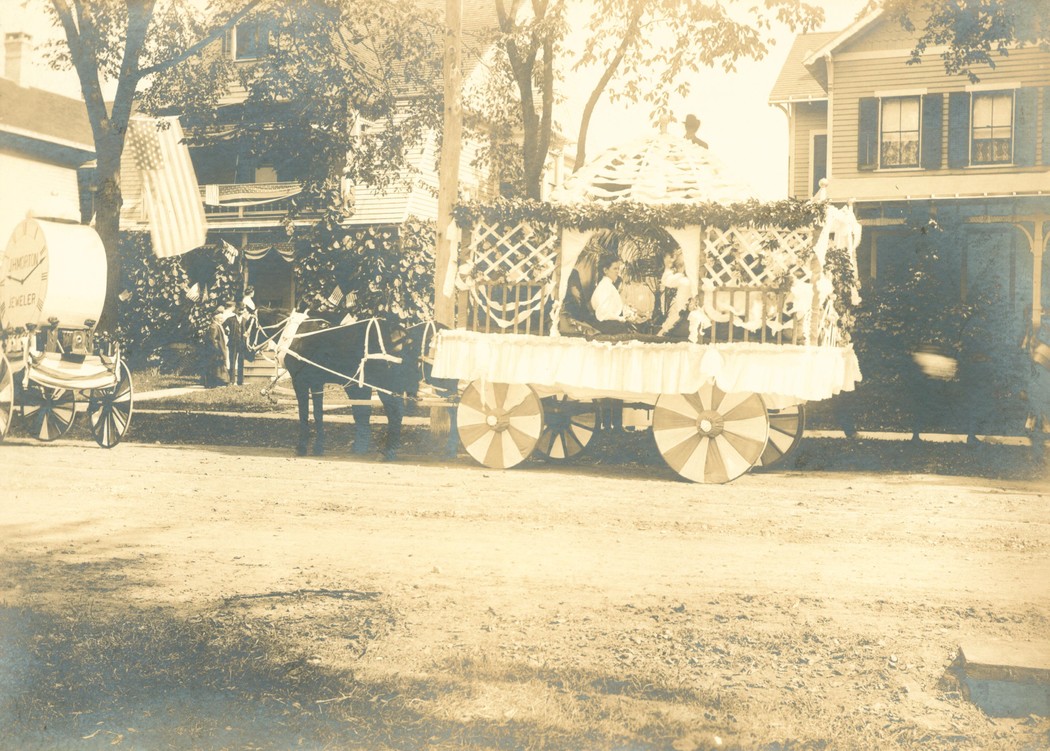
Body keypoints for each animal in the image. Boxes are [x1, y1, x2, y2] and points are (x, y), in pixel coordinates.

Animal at [283, 310, 455, 457]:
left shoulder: (300, 382)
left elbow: (304, 414)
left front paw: (302, 447)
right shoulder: (317, 383)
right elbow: (320, 414)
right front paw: (319, 447)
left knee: (397, 413)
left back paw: (391, 451)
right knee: (452, 407)